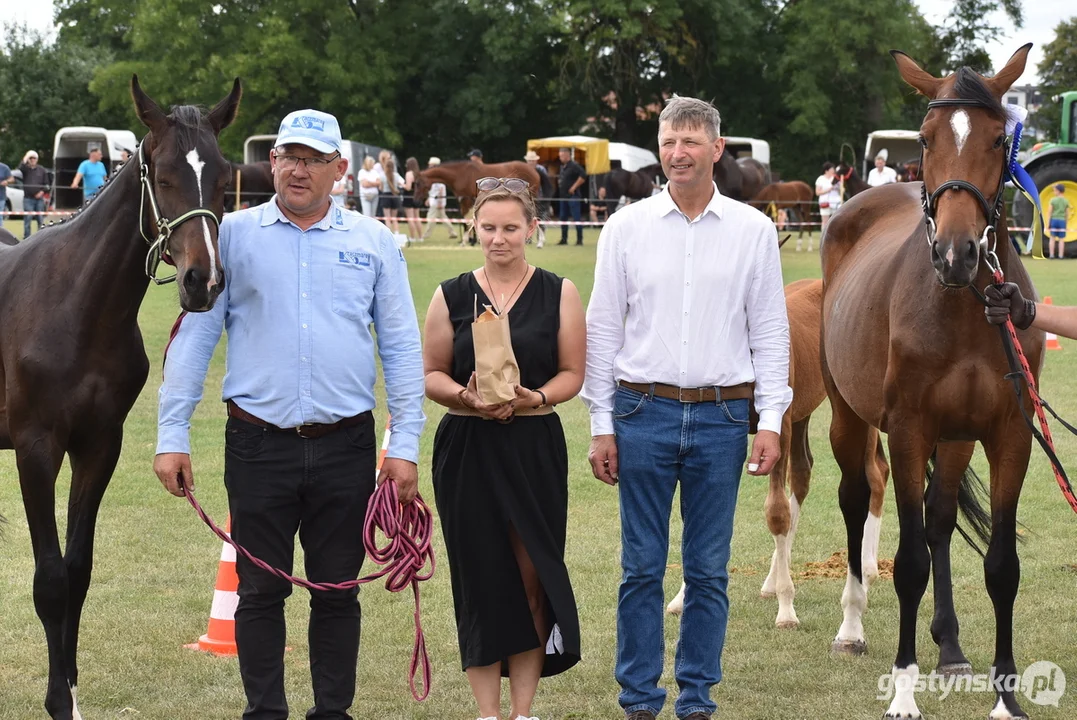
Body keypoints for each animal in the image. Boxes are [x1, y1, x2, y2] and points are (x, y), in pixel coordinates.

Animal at [0, 77, 240, 718]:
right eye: (162, 174)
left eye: (224, 175)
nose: (203, 282)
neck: (75, 306)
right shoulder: (36, 448)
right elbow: (50, 580)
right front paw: (60, 700)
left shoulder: (98, 446)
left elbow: (78, 572)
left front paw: (71, 684)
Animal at [818, 46, 1038, 718]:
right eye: (925, 136)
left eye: (998, 139)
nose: (957, 253)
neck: (966, 311)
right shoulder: (910, 431)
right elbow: (909, 560)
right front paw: (903, 691)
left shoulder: (1008, 436)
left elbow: (1000, 565)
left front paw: (1004, 696)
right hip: (848, 416)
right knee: (856, 499)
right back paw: (852, 628)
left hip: (957, 436)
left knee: (939, 518)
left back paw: (950, 646)